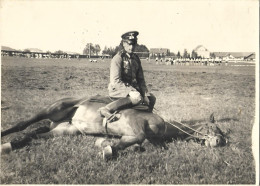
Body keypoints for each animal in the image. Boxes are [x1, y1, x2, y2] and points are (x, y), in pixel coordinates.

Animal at [1, 95, 226, 159]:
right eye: (214, 128)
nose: (219, 142)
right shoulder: (136, 124)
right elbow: (138, 137)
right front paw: (109, 149)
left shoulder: (152, 141)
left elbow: (141, 144)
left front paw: (107, 144)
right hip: (53, 109)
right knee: (23, 124)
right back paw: (6, 138)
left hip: (64, 130)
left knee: (34, 135)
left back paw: (12, 145)